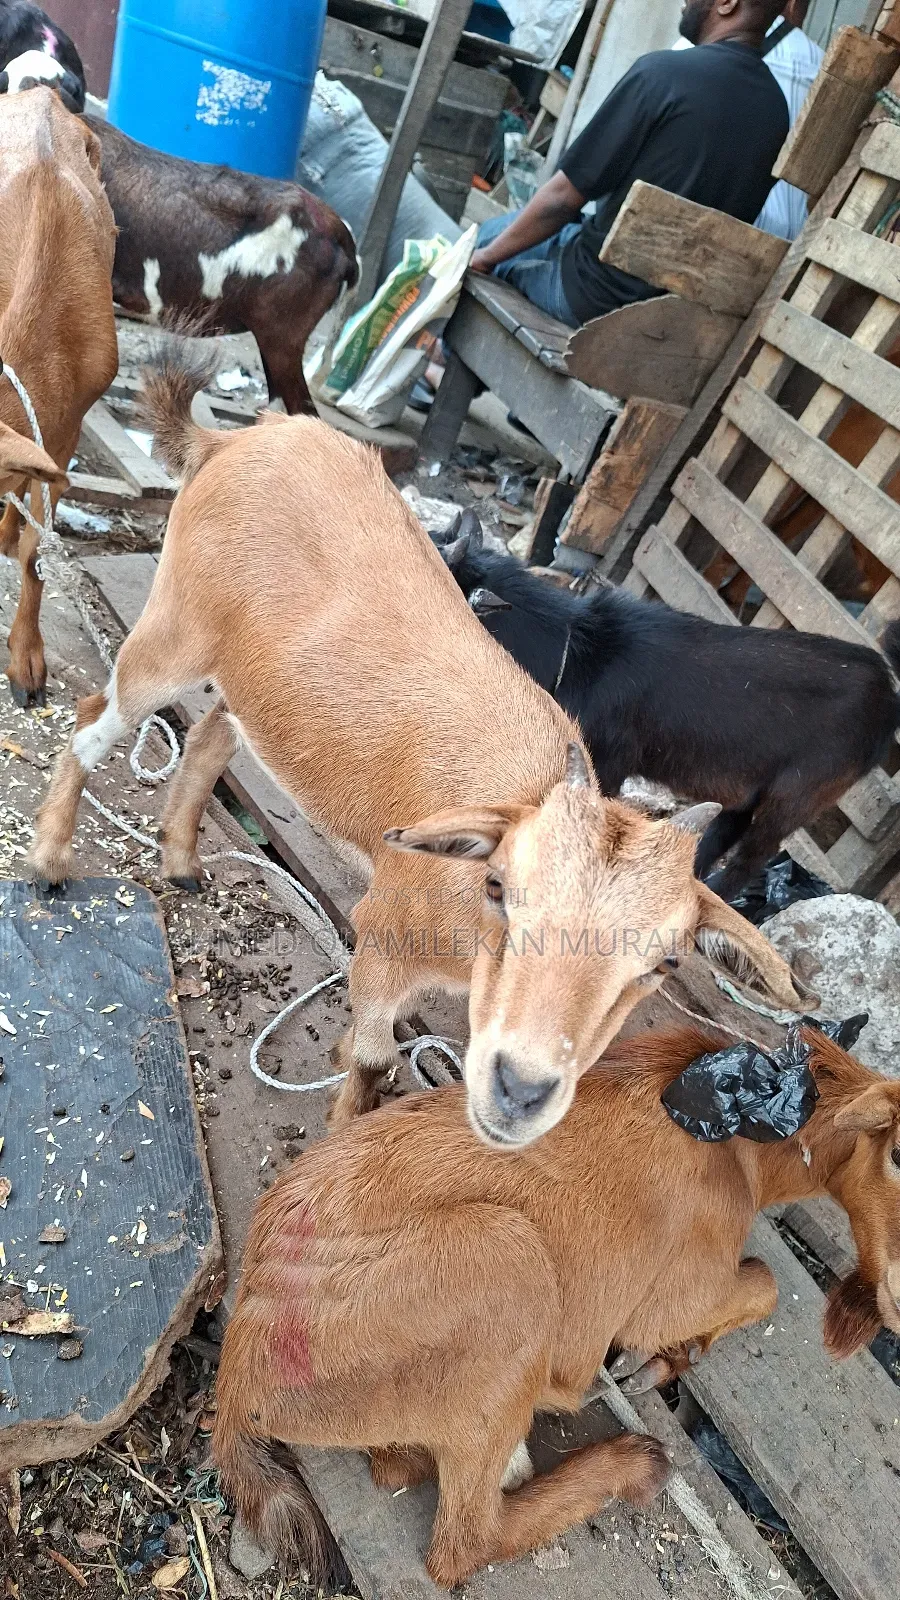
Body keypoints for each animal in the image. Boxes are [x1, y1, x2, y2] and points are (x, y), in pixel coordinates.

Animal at [27, 338, 803, 1149]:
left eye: (666, 961)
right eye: (500, 887)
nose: (521, 1090)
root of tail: (234, 440)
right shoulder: (383, 935)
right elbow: (373, 1057)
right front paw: (341, 1138)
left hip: (253, 674)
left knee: (212, 734)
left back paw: (179, 862)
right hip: (178, 623)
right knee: (95, 715)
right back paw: (49, 860)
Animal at [212, 1021, 900, 1586]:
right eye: (896, 1152)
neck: (744, 1147)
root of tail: (239, 1374)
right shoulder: (679, 1292)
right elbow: (765, 1282)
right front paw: (666, 1358)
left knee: (400, 1470)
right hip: (506, 1262)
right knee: (463, 1543)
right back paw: (629, 1461)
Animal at [435, 515, 900, 900]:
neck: (576, 653)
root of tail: (888, 695)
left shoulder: (606, 762)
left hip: (796, 797)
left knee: (751, 856)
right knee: (724, 830)